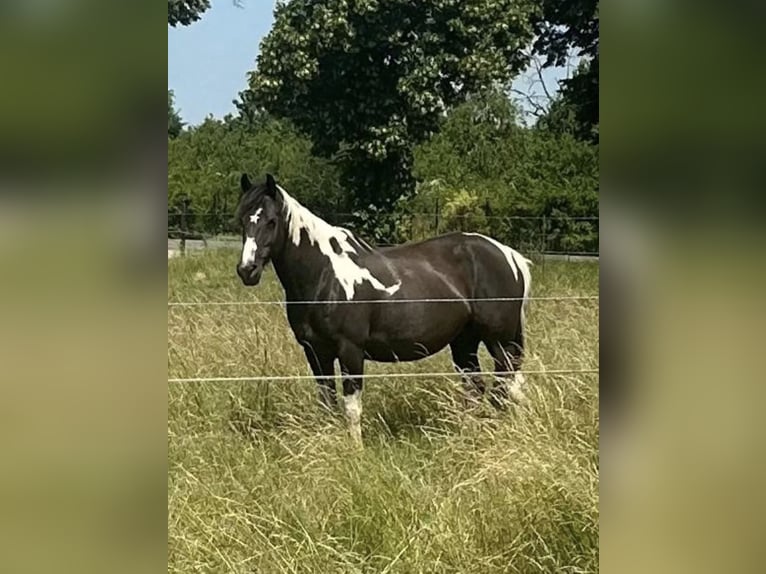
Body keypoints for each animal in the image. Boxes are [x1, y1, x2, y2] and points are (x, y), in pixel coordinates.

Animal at [235, 173, 532, 444]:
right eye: (242, 220)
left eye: (271, 221)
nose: (247, 270)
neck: (324, 275)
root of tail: (510, 256)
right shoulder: (315, 352)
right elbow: (327, 404)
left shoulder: (350, 350)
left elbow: (352, 407)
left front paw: (356, 450)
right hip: (464, 342)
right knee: (476, 389)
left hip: (500, 342)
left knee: (505, 386)